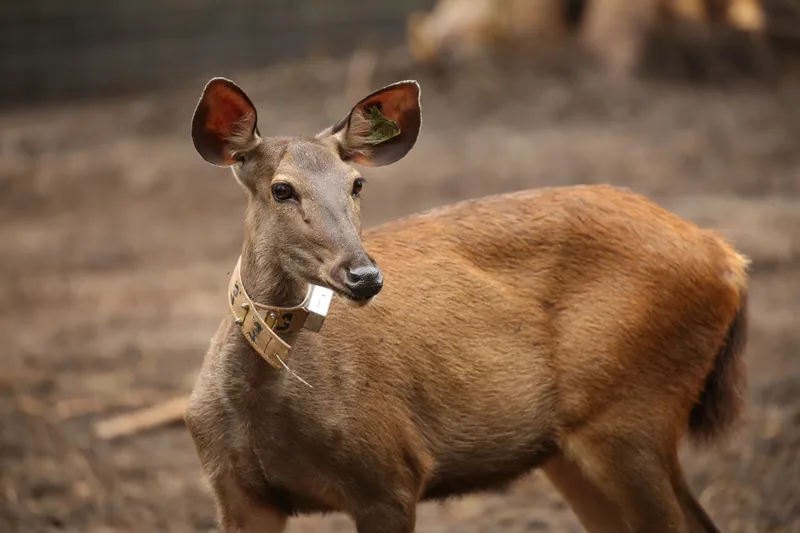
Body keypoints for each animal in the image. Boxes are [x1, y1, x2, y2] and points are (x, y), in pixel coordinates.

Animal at [184, 76, 749, 533]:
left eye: (357, 184)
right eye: (281, 189)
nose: (364, 276)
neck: (261, 407)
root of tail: (727, 256)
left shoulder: (388, 471)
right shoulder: (234, 491)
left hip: (633, 413)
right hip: (575, 447)